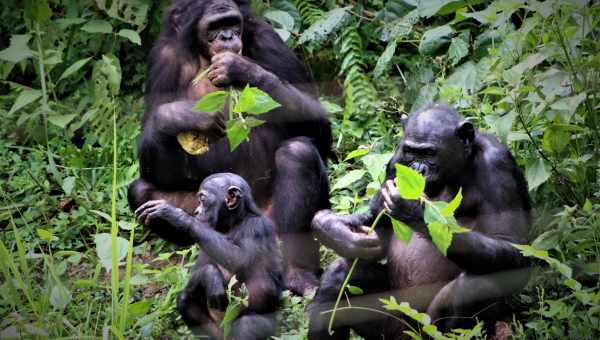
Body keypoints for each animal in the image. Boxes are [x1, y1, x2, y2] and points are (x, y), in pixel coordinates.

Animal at [127, 0, 332, 294]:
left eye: (233, 22)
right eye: (214, 26)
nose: (226, 37)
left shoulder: (268, 39)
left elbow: (319, 124)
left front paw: (242, 68)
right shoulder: (162, 59)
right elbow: (158, 166)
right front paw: (180, 115)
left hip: (269, 224)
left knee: (298, 153)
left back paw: (299, 275)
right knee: (140, 190)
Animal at [136, 174, 284, 338]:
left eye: (202, 199)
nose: (196, 211)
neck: (233, 223)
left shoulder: (257, 227)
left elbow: (240, 259)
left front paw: (174, 215)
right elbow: (195, 263)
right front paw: (210, 276)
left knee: (250, 321)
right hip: (216, 331)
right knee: (184, 300)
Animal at [310, 105, 528, 338]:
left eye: (429, 153)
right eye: (411, 152)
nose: (416, 168)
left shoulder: (498, 164)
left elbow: (511, 243)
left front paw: (412, 209)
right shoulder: (397, 159)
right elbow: (379, 226)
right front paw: (335, 231)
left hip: (428, 326)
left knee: (478, 284)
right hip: (391, 325)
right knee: (338, 276)